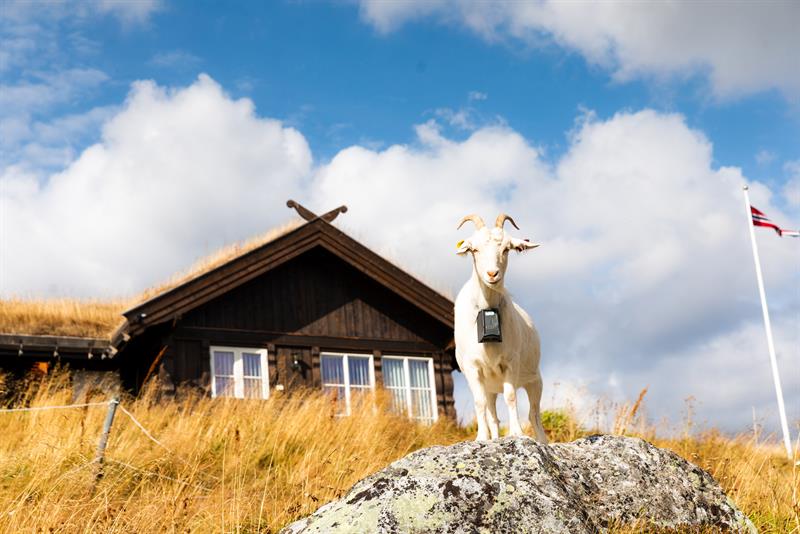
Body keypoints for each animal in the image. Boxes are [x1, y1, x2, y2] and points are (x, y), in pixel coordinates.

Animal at [454, 213, 548, 442]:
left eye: (506, 249)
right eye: (474, 249)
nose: (492, 274)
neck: (487, 309)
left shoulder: (510, 363)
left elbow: (511, 396)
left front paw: (516, 433)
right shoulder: (473, 368)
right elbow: (479, 403)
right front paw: (481, 438)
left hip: (535, 380)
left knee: (534, 414)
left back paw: (542, 441)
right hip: (490, 387)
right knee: (493, 415)